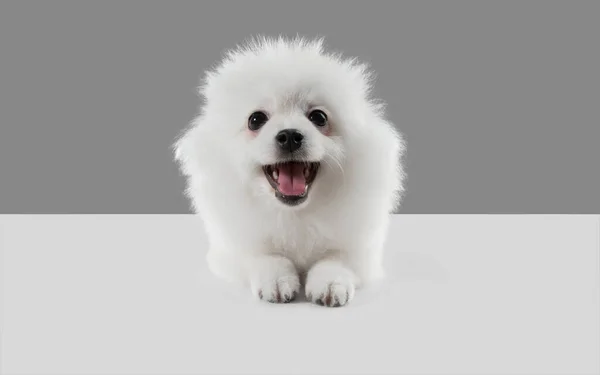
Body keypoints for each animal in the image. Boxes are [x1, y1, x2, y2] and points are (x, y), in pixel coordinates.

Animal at [175, 36, 408, 306]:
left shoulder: (359, 250)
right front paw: (277, 281)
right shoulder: (234, 249)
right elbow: (266, 256)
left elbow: (335, 259)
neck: (295, 215)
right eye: (256, 119)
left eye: (319, 117)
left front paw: (330, 283)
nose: (289, 136)